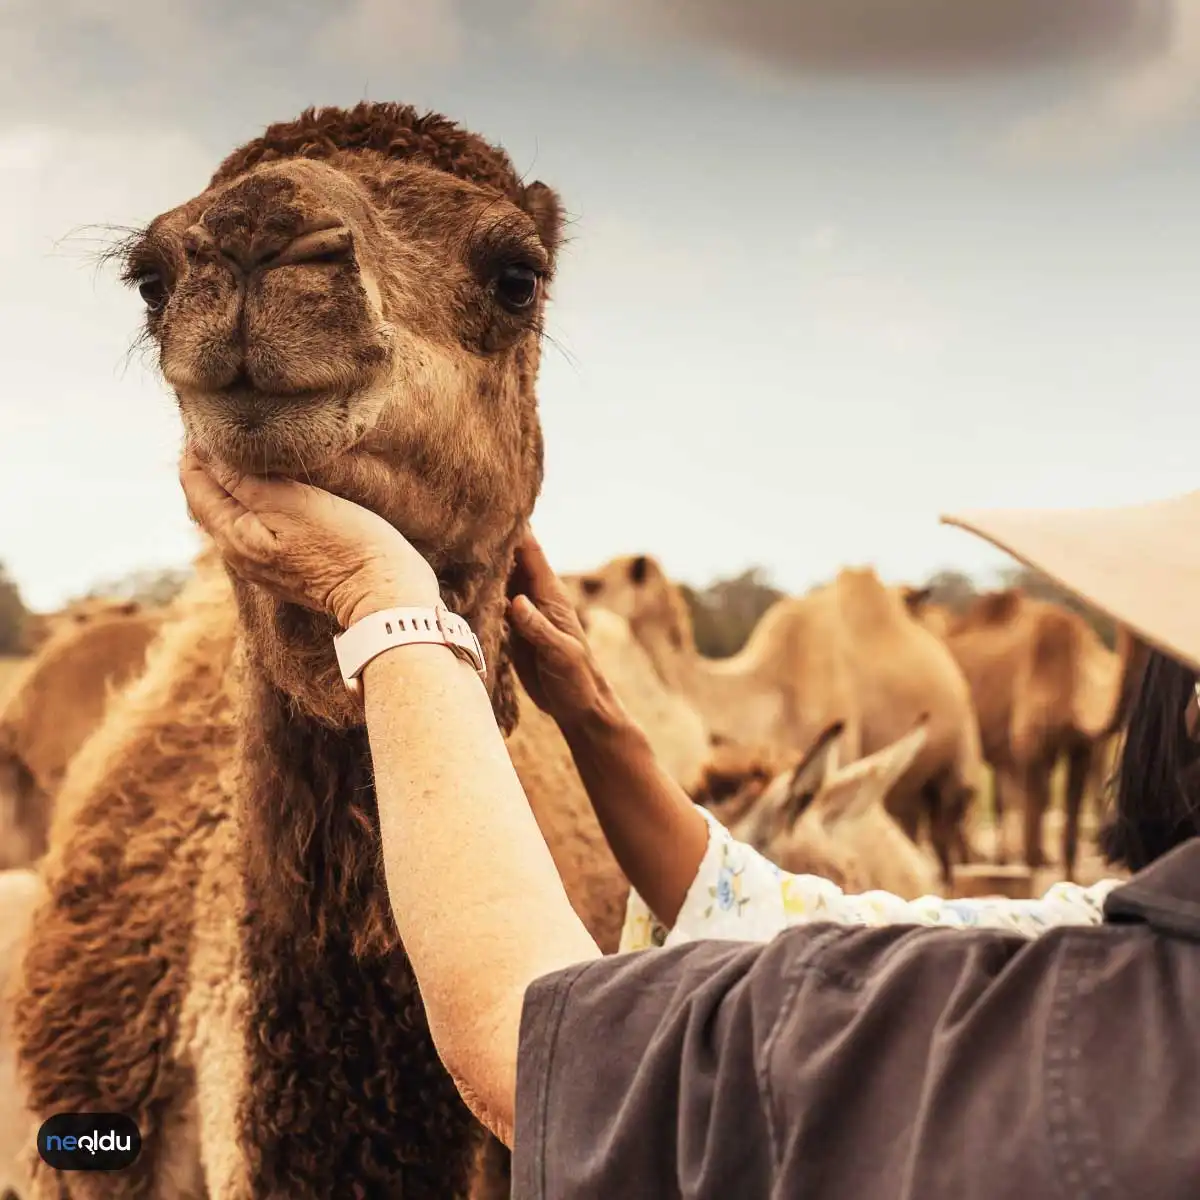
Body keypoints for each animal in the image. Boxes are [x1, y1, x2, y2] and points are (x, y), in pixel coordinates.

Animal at [907, 590, 1142, 883]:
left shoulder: (1081, 745)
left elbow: (1071, 799)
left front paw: (1069, 878)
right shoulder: (1030, 733)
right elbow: (1036, 799)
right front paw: (1032, 871)